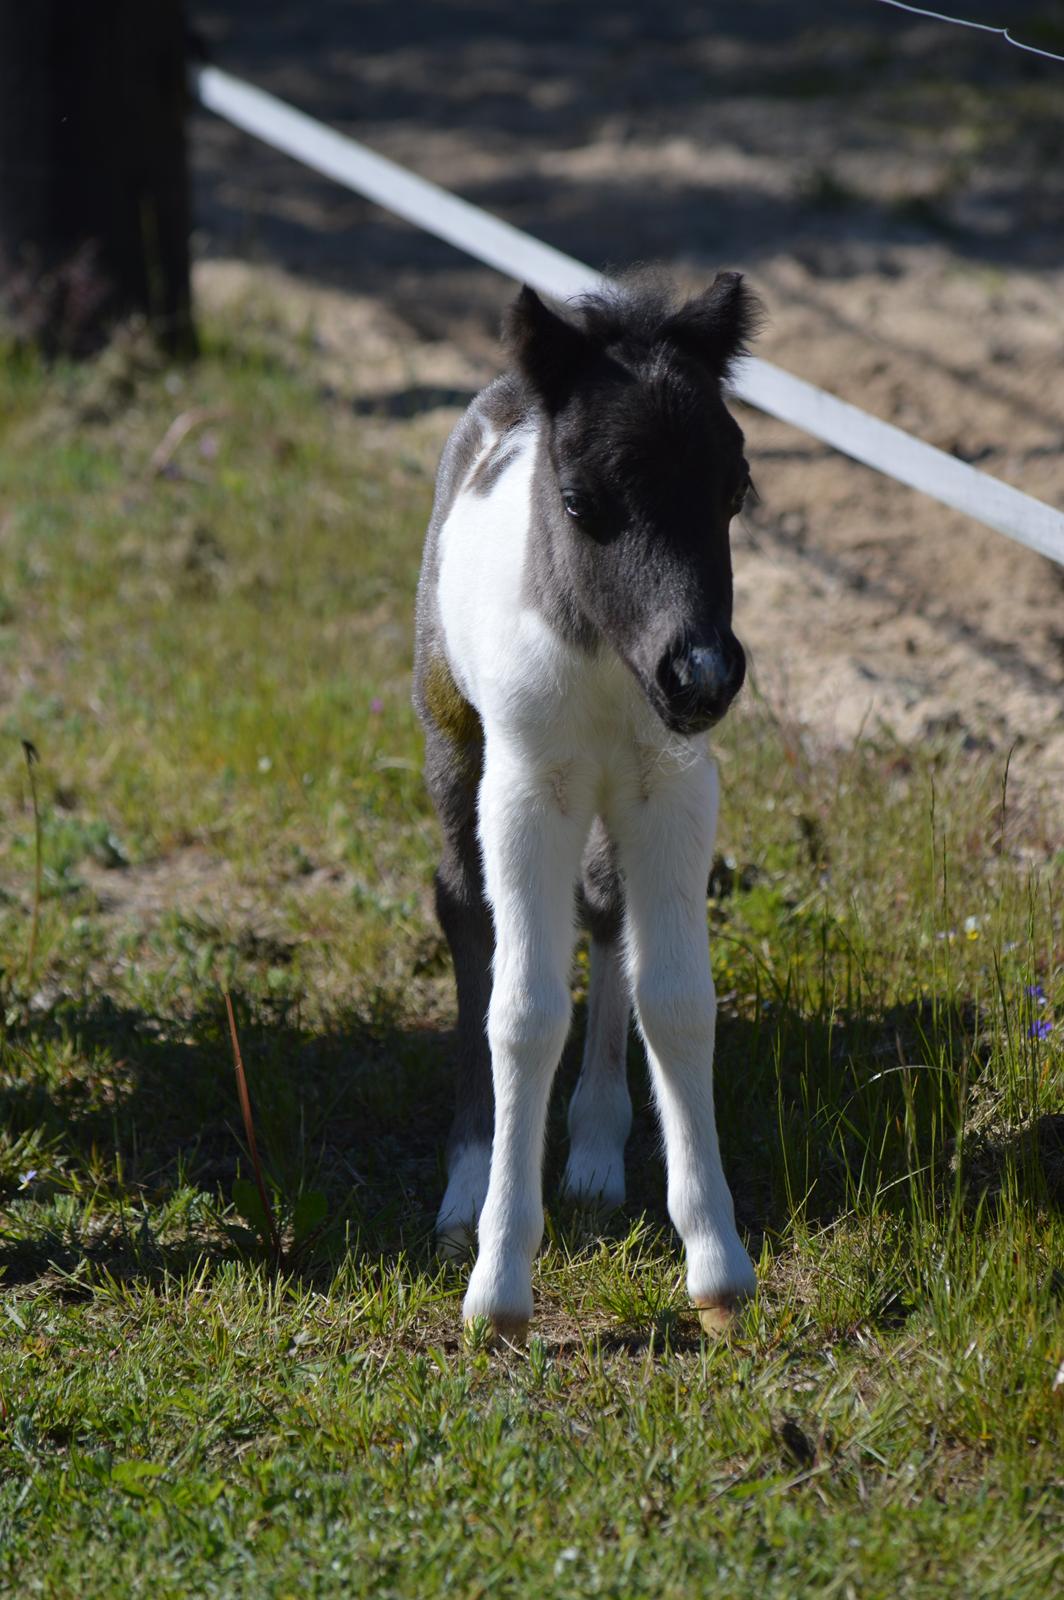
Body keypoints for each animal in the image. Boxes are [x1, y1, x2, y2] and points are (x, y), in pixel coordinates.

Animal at [412, 272, 755, 1337]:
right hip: (454, 744)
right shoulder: (527, 792)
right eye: (578, 501)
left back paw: (598, 1152)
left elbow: (677, 999)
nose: (701, 675)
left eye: (735, 490)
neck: (609, 663)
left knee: (605, 916)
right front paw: (499, 1286)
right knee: (467, 917)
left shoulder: (674, 788)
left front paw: (717, 1268)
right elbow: (521, 1011)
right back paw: (465, 1182)